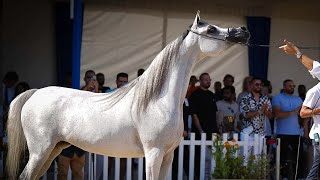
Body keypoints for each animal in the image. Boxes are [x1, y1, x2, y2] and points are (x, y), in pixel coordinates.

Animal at [5, 11, 250, 179]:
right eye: (211, 30)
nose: (242, 31)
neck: (157, 101)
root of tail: (35, 94)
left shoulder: (168, 156)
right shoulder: (153, 154)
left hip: (52, 150)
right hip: (40, 151)